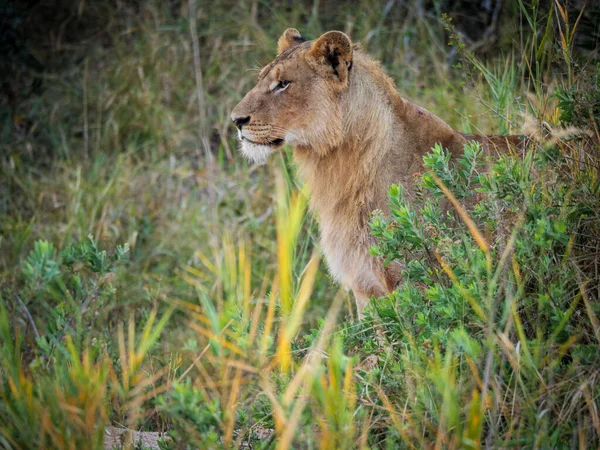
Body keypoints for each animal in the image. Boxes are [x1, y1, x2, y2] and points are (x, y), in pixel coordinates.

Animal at [232, 28, 524, 316]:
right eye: (261, 80)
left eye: (283, 84)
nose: (236, 120)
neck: (340, 163)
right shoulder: (364, 283)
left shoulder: (418, 277)